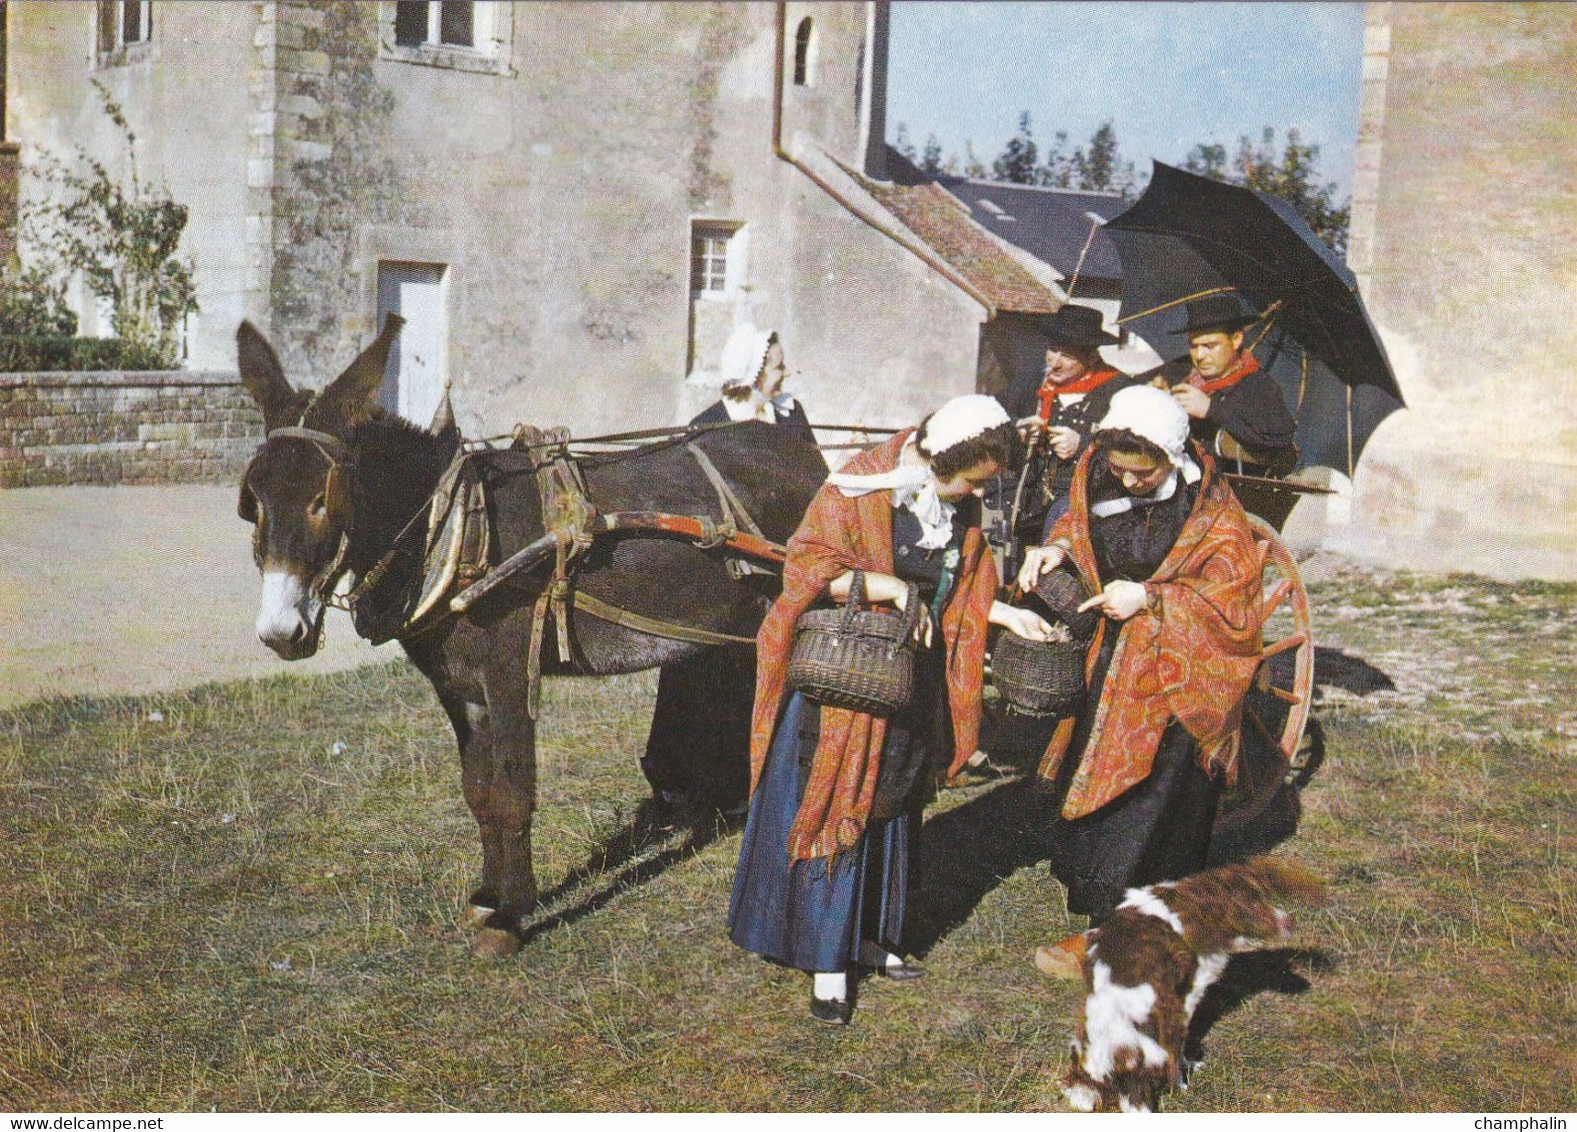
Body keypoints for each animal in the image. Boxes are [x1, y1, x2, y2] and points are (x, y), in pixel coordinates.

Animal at [1053, 857, 1324, 1116]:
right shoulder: (1184, 999)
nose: (1290, 922)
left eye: (1263, 897)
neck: (1188, 903)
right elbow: (1181, 1049)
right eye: (1251, 907)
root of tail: (1105, 1061)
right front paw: (1186, 1075)